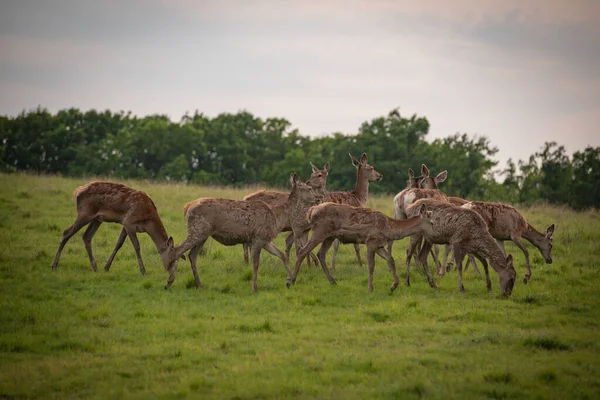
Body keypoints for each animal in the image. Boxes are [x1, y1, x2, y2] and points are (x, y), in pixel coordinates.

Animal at [49, 181, 180, 276]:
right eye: (172, 258)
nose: (170, 271)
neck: (148, 221)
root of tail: (77, 191)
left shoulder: (125, 224)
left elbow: (119, 243)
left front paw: (106, 267)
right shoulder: (129, 221)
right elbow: (137, 246)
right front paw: (143, 271)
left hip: (96, 219)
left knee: (86, 236)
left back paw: (94, 266)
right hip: (84, 213)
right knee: (66, 232)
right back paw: (54, 265)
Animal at [164, 173, 324, 292]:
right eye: (309, 188)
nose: (319, 197)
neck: (278, 219)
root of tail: (187, 207)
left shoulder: (266, 240)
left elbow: (282, 255)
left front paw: (290, 280)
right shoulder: (258, 238)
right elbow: (256, 264)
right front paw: (254, 288)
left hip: (203, 234)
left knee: (192, 255)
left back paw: (198, 284)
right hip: (198, 229)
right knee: (178, 250)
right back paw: (169, 282)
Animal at [286, 203, 432, 290]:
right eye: (431, 221)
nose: (434, 230)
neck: (390, 229)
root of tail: (311, 211)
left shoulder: (379, 244)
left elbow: (391, 260)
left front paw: (394, 285)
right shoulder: (371, 241)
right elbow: (371, 265)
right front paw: (370, 288)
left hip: (329, 236)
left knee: (320, 254)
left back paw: (333, 281)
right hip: (319, 231)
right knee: (303, 251)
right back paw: (290, 281)